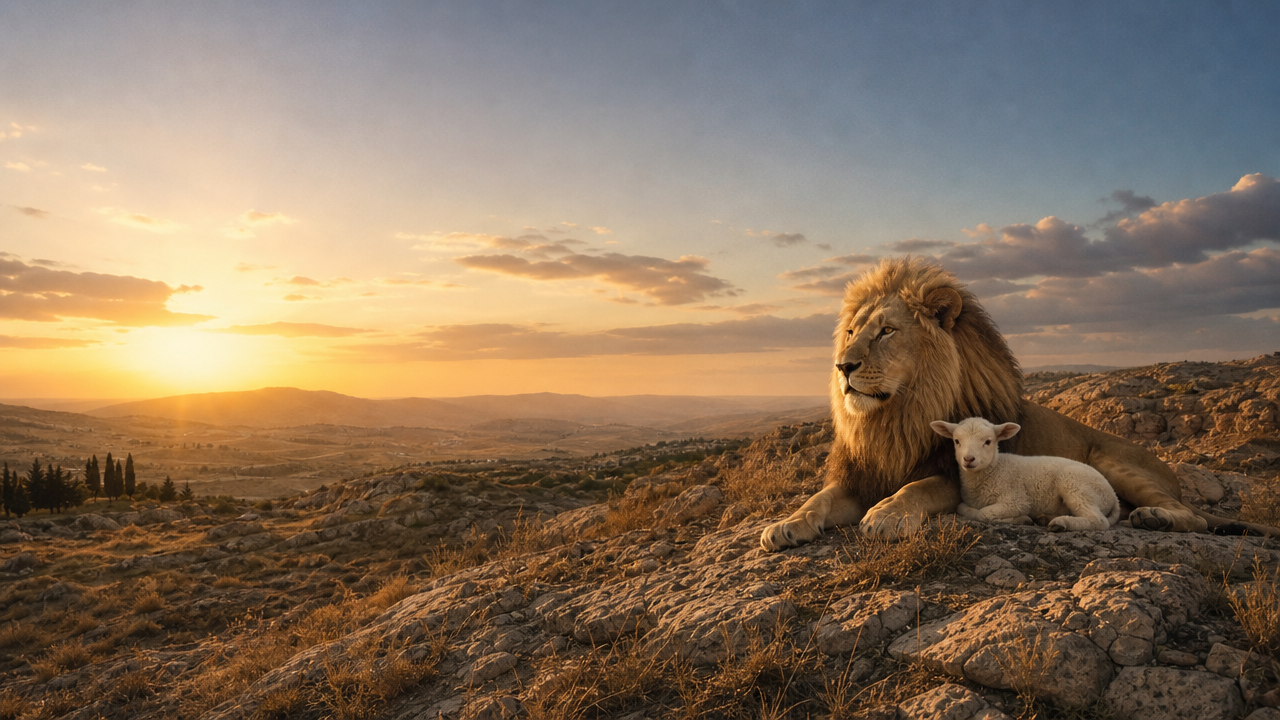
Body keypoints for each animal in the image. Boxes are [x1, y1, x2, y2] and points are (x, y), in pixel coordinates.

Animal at [930, 417, 1121, 531]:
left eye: (988, 441)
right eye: (957, 441)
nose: (968, 459)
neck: (995, 469)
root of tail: (1113, 497)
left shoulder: (1017, 500)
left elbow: (983, 514)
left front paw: (1020, 519)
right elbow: (963, 508)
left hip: (1075, 484)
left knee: (1099, 520)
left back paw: (1061, 523)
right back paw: (1046, 519)